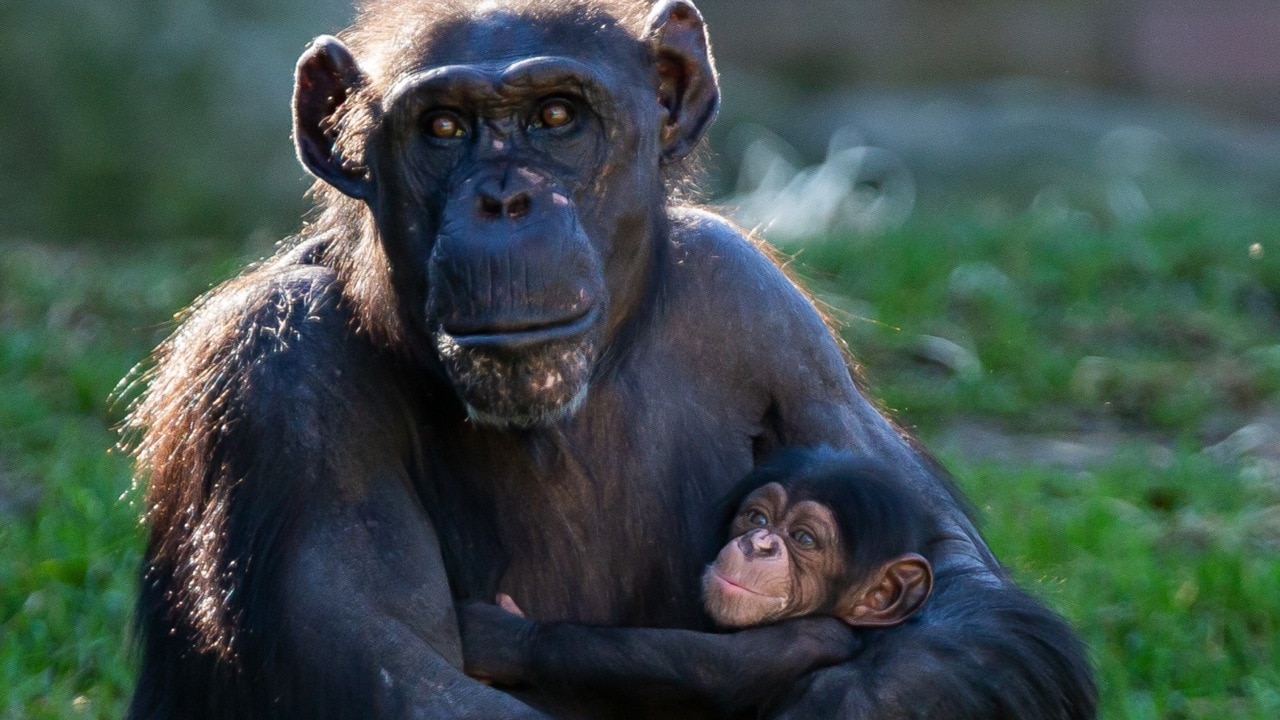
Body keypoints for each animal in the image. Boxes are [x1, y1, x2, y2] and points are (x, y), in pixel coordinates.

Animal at [460, 445, 1090, 712]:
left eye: (804, 540)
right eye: (759, 519)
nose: (757, 544)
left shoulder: (833, 655)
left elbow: (715, 667)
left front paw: (504, 639)